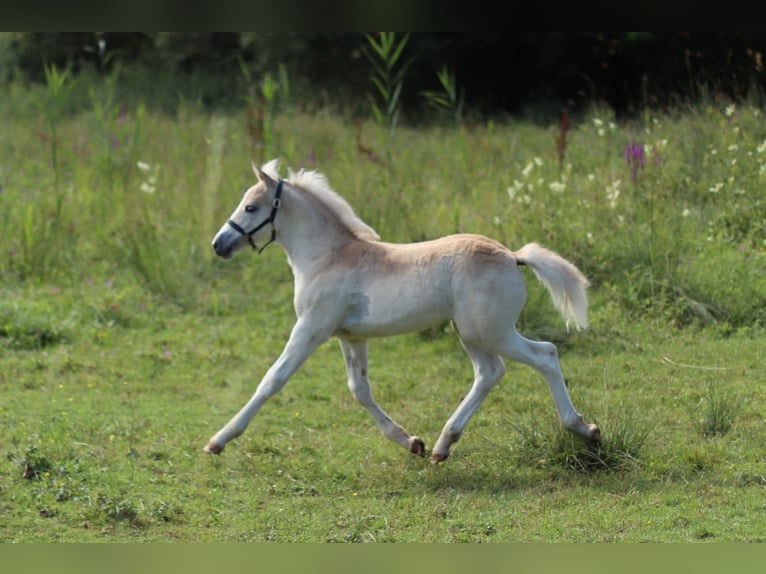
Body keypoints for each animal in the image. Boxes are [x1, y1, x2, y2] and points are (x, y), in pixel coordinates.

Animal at [207, 160, 604, 466]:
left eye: (251, 208)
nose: (218, 245)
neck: (328, 257)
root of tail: (512, 256)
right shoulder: (351, 337)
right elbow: (359, 390)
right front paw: (412, 442)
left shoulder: (311, 328)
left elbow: (273, 379)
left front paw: (219, 440)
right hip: (470, 332)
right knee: (489, 372)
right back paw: (442, 446)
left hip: (491, 331)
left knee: (545, 355)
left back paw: (586, 430)